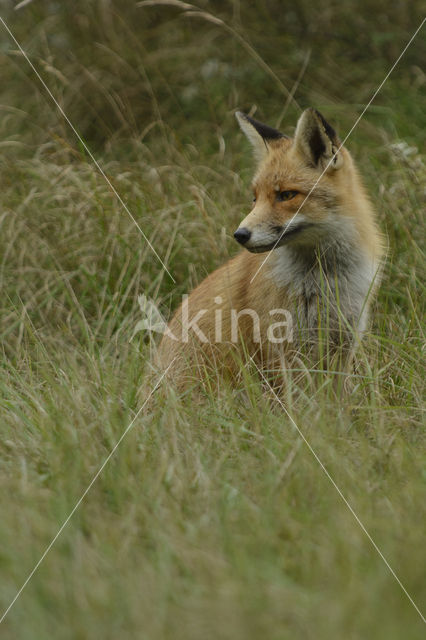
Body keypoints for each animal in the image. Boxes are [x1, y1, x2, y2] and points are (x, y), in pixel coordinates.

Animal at [156, 107, 382, 384]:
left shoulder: (344, 341)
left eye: (286, 195)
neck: (325, 279)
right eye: (255, 198)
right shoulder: (282, 349)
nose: (240, 234)